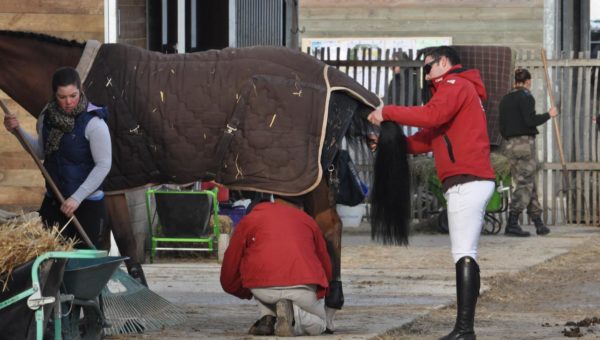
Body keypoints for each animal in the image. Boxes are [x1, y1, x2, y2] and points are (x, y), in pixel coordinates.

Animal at [0, 30, 412, 310]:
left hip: (299, 176)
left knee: (327, 225)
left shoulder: (110, 180)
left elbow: (118, 244)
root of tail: (338, 81)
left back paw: (331, 296)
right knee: (326, 224)